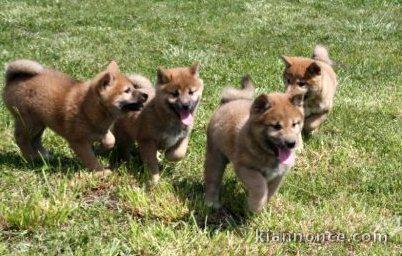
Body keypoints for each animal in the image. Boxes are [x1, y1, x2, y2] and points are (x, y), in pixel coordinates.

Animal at [3, 59, 148, 173]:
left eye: (134, 87)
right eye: (127, 90)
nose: (146, 95)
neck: (88, 108)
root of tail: (12, 79)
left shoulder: (102, 131)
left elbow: (110, 140)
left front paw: (100, 150)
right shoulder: (78, 142)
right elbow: (90, 158)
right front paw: (100, 171)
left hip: (40, 123)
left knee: (35, 140)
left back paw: (43, 156)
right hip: (30, 122)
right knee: (21, 139)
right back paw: (30, 157)